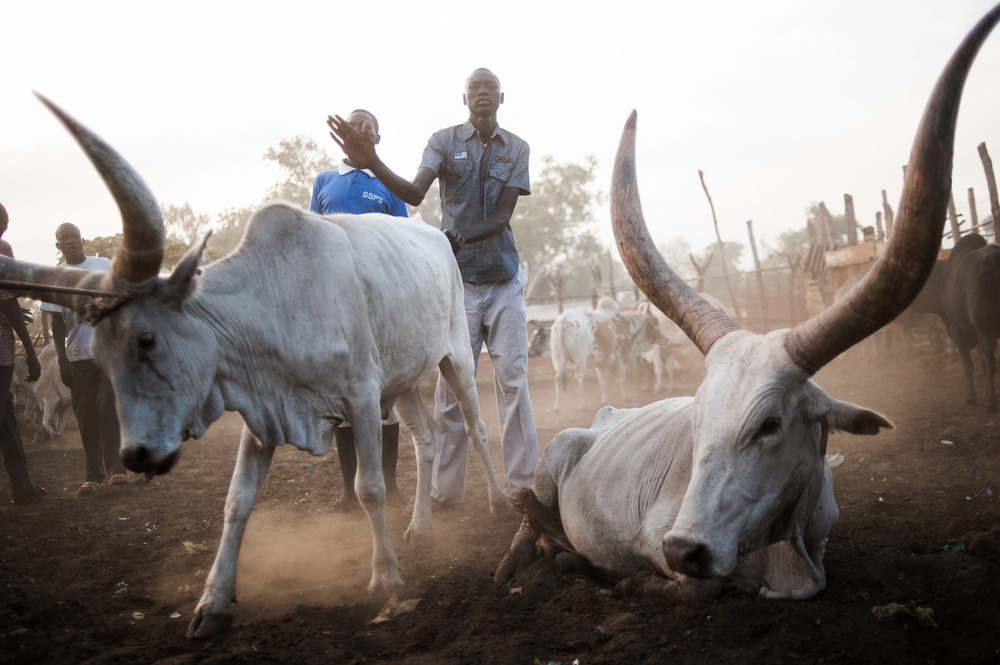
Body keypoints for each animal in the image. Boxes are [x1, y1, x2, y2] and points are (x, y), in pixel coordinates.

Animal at [0, 94, 512, 640]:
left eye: (147, 339)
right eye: (100, 355)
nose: (137, 455)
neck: (277, 298)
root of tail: (439, 238)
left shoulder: (357, 396)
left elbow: (370, 488)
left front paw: (385, 578)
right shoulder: (262, 408)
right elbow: (237, 500)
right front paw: (212, 603)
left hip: (455, 359)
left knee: (477, 428)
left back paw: (499, 503)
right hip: (400, 384)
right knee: (426, 440)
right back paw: (420, 527)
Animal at [916, 233, 1000, 410]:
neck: (943, 278)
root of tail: (995, 258)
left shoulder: (957, 331)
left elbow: (968, 365)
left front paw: (971, 397)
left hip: (984, 326)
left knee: (989, 358)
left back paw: (991, 401)